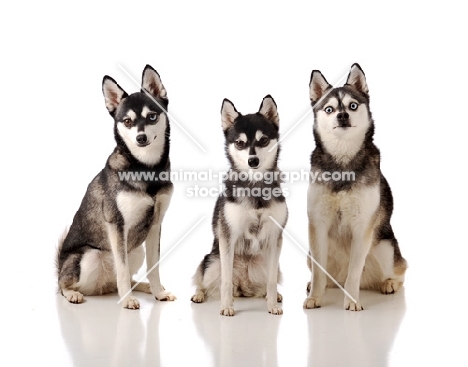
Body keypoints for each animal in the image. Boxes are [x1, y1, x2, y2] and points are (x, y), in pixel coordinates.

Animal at [56, 64, 176, 310]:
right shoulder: (117, 225)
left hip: (136, 250)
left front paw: (158, 292)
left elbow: (154, 266)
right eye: (127, 121)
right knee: (64, 285)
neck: (145, 168)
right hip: (89, 255)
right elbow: (122, 268)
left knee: (128, 277)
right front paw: (127, 299)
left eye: (152, 117)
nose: (141, 138)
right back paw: (74, 293)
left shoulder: (156, 224)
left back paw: (143, 287)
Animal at [189, 95, 286, 316]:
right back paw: (199, 295)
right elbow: (225, 281)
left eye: (263, 140)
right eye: (240, 143)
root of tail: (243, 285)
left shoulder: (275, 237)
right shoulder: (228, 237)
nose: (253, 161)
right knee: (204, 280)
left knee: (268, 282)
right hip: (212, 261)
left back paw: (273, 296)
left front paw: (272, 305)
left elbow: (271, 282)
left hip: (270, 264)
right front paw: (226, 306)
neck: (255, 188)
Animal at [306, 64, 408, 312]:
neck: (343, 163)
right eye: (329, 109)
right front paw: (315, 296)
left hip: (385, 247)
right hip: (310, 253)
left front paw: (352, 300)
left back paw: (389, 283)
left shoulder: (363, 226)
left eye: (353, 105)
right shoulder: (317, 223)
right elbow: (318, 272)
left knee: (401, 269)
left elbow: (355, 272)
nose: (342, 115)